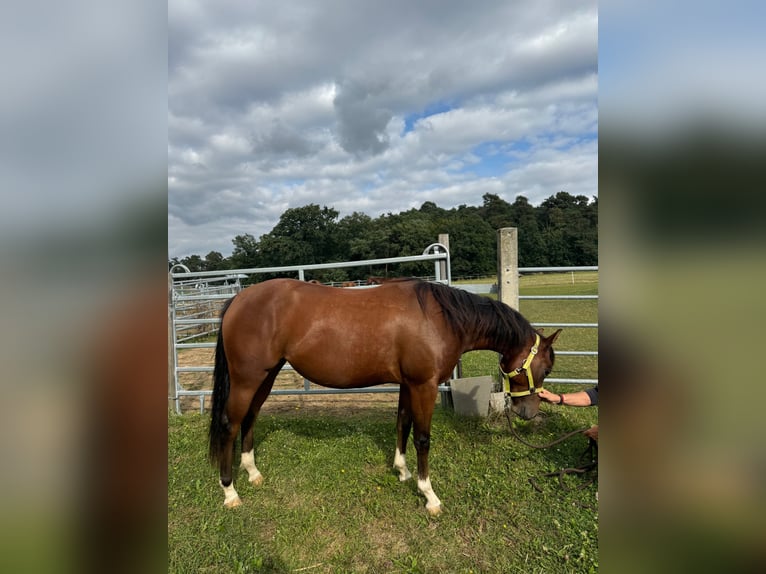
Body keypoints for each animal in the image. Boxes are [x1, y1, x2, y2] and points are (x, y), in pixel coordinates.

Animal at [210, 276, 564, 516]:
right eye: (546, 368)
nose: (528, 412)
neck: (441, 318)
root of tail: (238, 299)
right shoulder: (424, 385)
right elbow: (422, 437)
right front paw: (429, 495)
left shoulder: (408, 384)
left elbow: (402, 424)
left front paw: (402, 471)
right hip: (247, 379)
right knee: (229, 424)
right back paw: (229, 491)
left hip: (265, 377)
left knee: (250, 418)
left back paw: (253, 473)